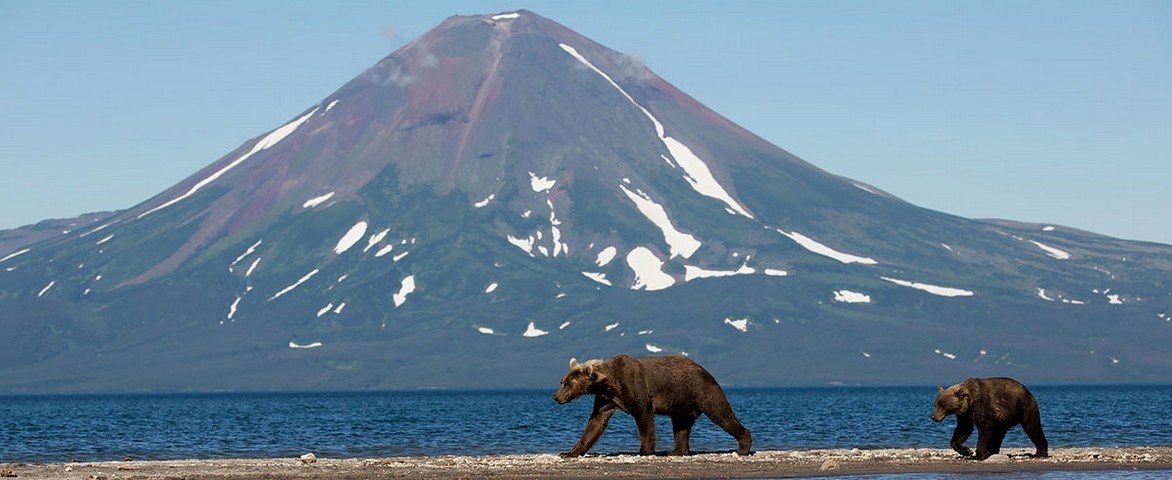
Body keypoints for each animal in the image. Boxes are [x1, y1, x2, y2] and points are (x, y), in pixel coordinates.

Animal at [555, 353, 754, 456]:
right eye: (562, 381)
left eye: (569, 383)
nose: (556, 397)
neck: (610, 382)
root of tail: (706, 370)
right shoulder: (606, 400)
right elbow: (595, 424)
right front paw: (569, 452)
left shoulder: (634, 386)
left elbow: (644, 418)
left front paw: (644, 450)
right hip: (682, 403)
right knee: (681, 426)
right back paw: (677, 451)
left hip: (702, 389)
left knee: (721, 413)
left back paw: (743, 446)